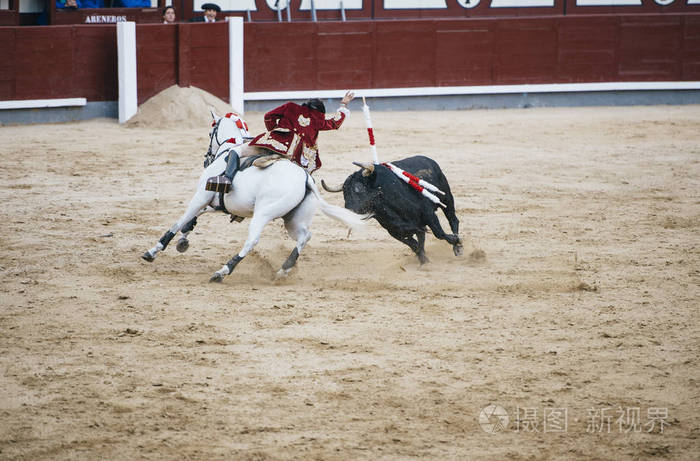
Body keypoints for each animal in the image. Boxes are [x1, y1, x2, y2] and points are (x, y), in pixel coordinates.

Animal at [142, 110, 366, 282]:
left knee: (252, 241)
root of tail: (305, 178)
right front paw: (183, 241)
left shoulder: (202, 195)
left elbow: (180, 221)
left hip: (263, 213)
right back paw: (283, 270)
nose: (206, 159)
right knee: (304, 237)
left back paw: (223, 271)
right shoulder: (216, 202)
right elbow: (193, 219)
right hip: (293, 220)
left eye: (210, 132)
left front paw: (154, 251)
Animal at [324, 155, 464, 262]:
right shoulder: (394, 230)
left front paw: (457, 242)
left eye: (358, 188)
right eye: (344, 193)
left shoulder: (429, 215)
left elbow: (439, 233)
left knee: (453, 220)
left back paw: (457, 248)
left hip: (447, 198)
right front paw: (424, 260)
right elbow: (414, 244)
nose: (347, 212)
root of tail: (430, 160)